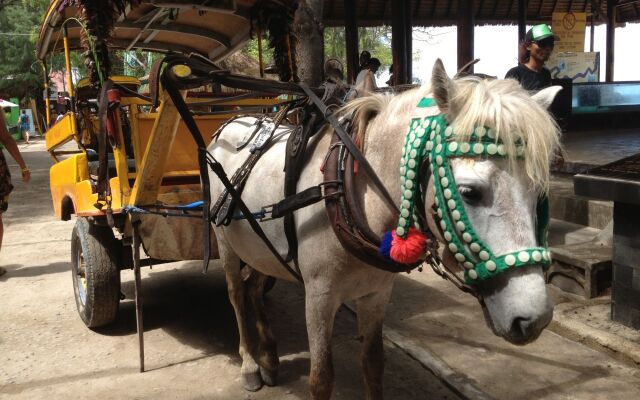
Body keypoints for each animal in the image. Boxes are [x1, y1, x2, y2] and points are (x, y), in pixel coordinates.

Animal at [209, 60, 560, 400]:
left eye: (539, 193)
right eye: (470, 192)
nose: (534, 319)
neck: (348, 190)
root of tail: (232, 123)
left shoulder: (376, 294)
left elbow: (373, 364)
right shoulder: (318, 297)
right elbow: (321, 379)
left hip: (261, 248)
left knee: (254, 288)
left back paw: (269, 357)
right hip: (225, 241)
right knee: (236, 293)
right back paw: (250, 364)